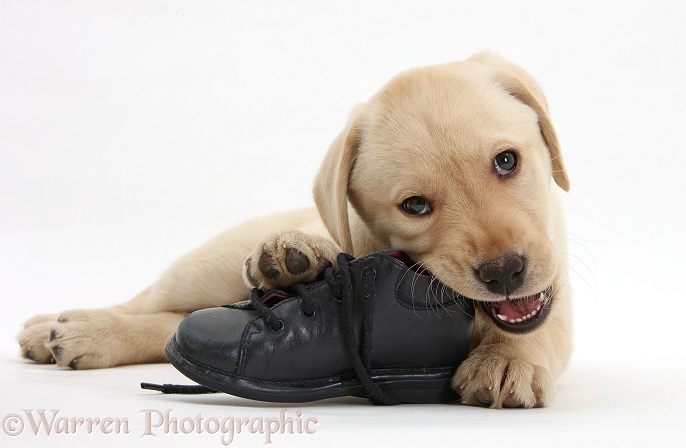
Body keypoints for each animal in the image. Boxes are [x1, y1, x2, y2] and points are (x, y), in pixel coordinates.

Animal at [18, 52, 572, 410]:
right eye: (415, 206)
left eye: (507, 161)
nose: (504, 272)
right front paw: (300, 255)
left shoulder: (556, 289)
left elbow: (540, 329)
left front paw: (508, 359)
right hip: (202, 267)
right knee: (149, 305)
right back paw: (63, 327)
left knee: (173, 324)